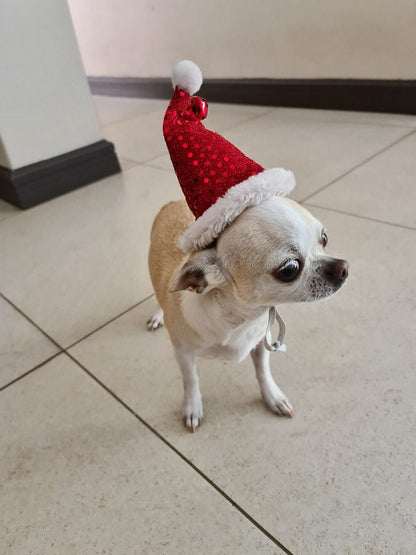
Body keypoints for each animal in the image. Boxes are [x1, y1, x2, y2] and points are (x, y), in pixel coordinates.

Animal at [148, 198, 350, 432]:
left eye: (324, 238)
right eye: (290, 269)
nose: (344, 267)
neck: (238, 318)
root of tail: (173, 201)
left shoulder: (261, 341)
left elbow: (263, 371)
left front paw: (272, 396)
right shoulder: (183, 353)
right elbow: (190, 380)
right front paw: (192, 407)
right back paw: (157, 314)